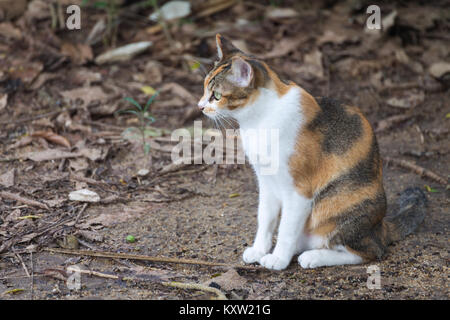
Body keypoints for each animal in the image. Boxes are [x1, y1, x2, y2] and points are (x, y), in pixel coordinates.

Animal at [199, 34, 428, 270]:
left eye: (216, 95)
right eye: (205, 89)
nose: (200, 106)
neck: (260, 119)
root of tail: (381, 226)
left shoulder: (299, 191)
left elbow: (286, 229)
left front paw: (278, 259)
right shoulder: (267, 182)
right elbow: (266, 219)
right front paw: (260, 250)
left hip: (336, 204)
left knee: (371, 251)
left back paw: (313, 257)